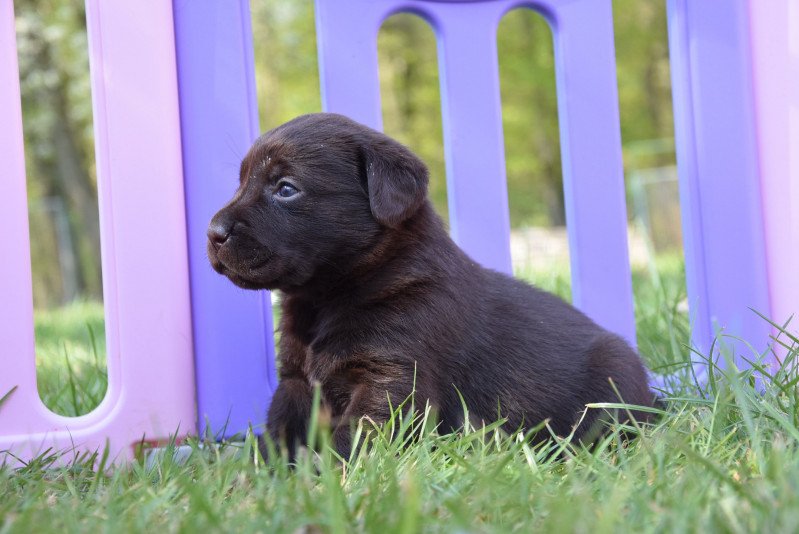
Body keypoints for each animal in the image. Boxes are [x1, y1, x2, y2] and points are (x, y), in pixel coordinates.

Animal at [208, 112, 656, 460]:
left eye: (286, 188)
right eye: (241, 181)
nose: (212, 232)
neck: (329, 298)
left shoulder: (391, 380)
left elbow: (353, 439)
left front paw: (327, 480)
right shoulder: (297, 383)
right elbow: (279, 431)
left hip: (613, 378)